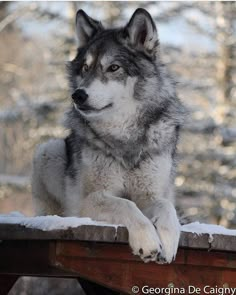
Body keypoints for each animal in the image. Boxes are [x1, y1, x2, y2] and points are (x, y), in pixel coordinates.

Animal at [31, 8, 186, 264]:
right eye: (85, 68)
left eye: (113, 68)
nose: (78, 95)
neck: (124, 135)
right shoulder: (90, 199)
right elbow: (126, 204)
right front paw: (148, 242)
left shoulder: (151, 194)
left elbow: (166, 207)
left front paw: (169, 241)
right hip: (48, 150)